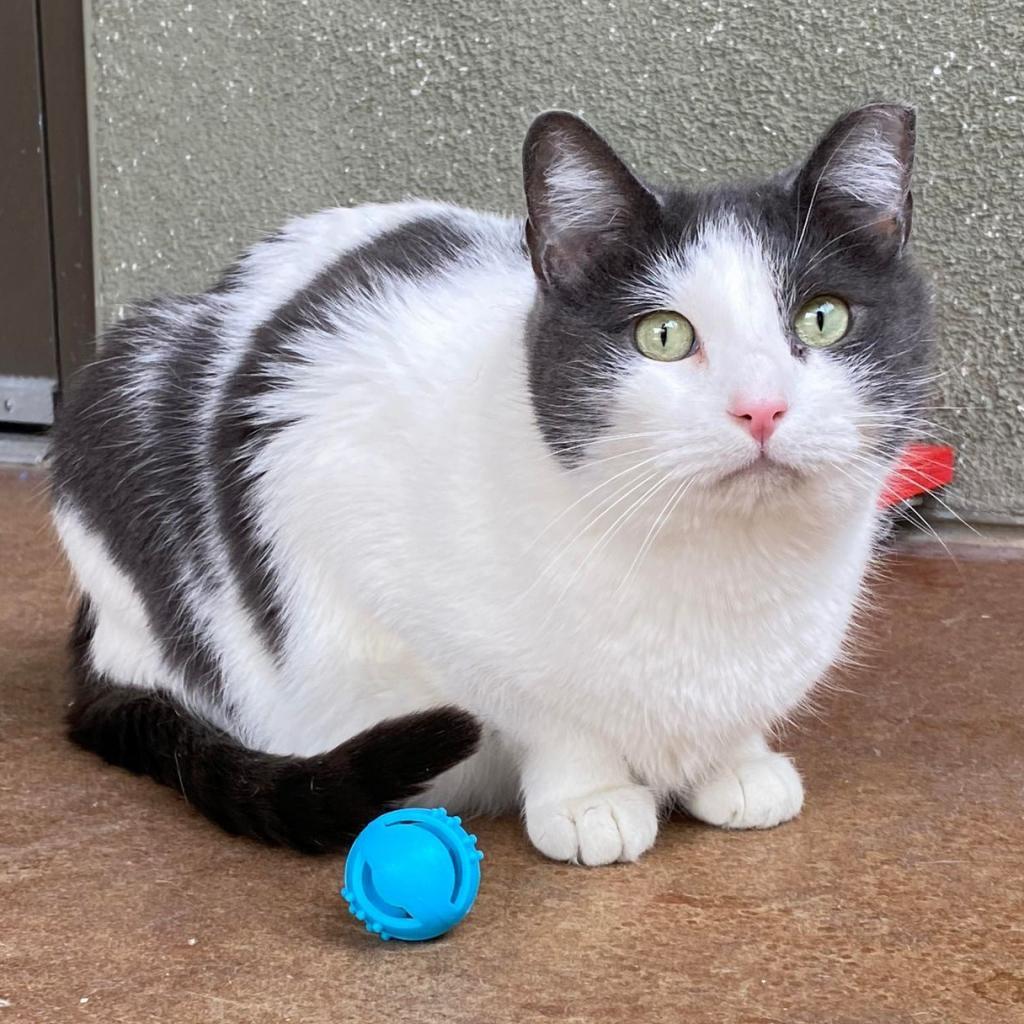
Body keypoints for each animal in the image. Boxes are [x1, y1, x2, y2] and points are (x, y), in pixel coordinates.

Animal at [48, 103, 933, 864]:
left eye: (824, 318)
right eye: (664, 336)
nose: (761, 408)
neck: (721, 572)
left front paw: (735, 762)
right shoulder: (321, 478)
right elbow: (533, 707)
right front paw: (589, 794)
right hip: (119, 385)